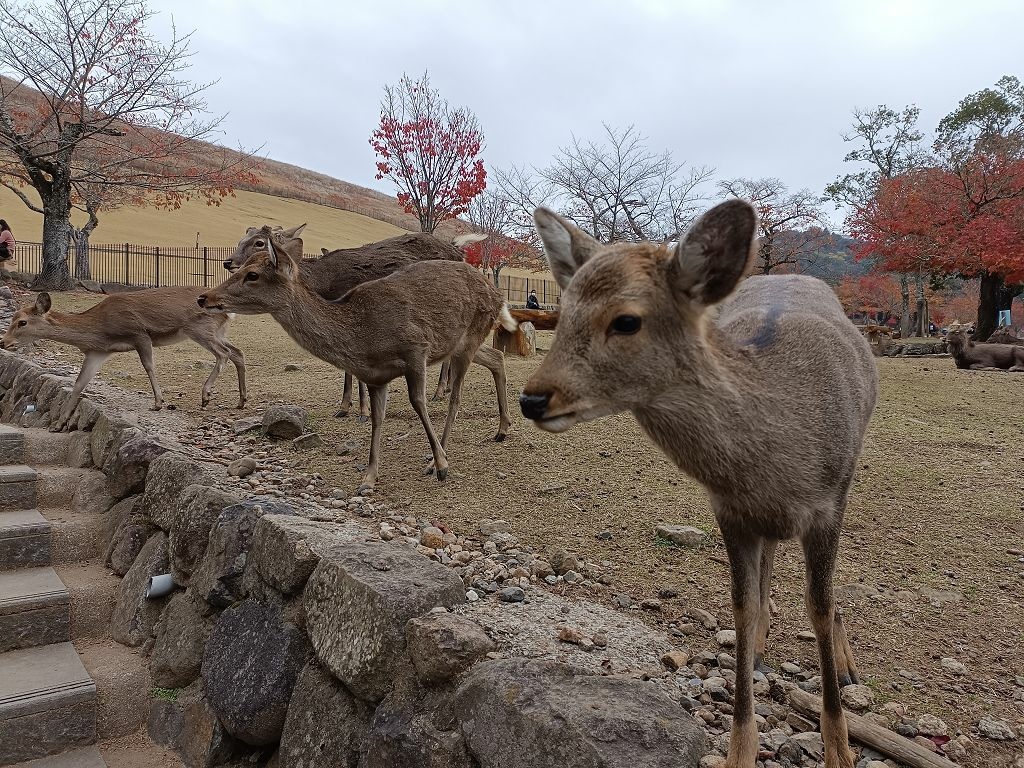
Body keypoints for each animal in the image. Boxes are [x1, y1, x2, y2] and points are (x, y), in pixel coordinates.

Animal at [1, 288, 245, 434]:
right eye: (12, 319)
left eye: (22, 322)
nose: (4, 342)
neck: (99, 329)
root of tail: (229, 312)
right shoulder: (97, 352)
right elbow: (79, 384)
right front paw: (59, 424)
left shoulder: (139, 333)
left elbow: (149, 366)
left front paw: (158, 402)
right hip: (217, 331)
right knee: (237, 353)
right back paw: (241, 400)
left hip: (200, 328)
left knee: (223, 354)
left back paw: (206, 395)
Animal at [223, 227, 491, 421]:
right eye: (242, 238)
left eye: (259, 242)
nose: (228, 262)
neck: (324, 286)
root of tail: (458, 250)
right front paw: (344, 406)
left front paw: (362, 410)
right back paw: (446, 388)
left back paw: (439, 390)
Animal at [520, 199, 880, 768]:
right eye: (565, 309)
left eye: (626, 320)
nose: (533, 398)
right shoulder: (729, 511)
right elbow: (742, 607)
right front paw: (740, 747)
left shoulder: (828, 502)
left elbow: (819, 606)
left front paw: (840, 747)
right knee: (768, 568)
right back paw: (762, 647)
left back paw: (845, 667)